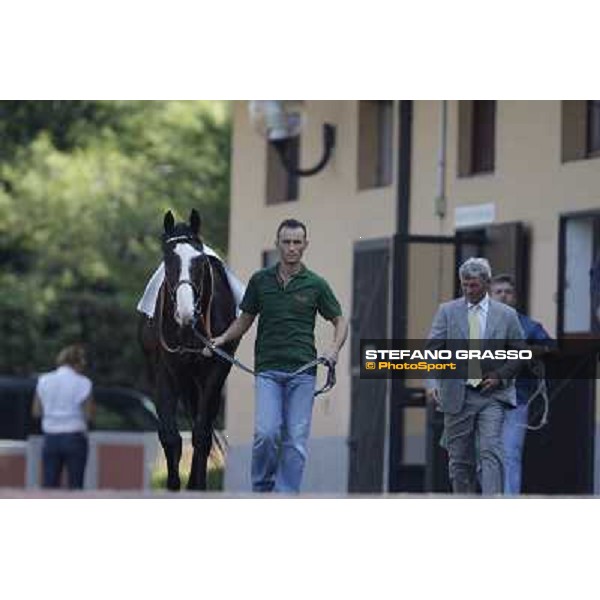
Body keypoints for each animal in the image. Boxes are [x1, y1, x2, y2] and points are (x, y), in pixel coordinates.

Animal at [138, 211, 237, 492]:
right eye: (167, 259)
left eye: (200, 261)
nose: (185, 312)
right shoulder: (168, 370)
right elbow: (170, 436)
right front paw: (173, 485)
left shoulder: (216, 371)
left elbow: (202, 432)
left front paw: (198, 485)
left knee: (201, 423)